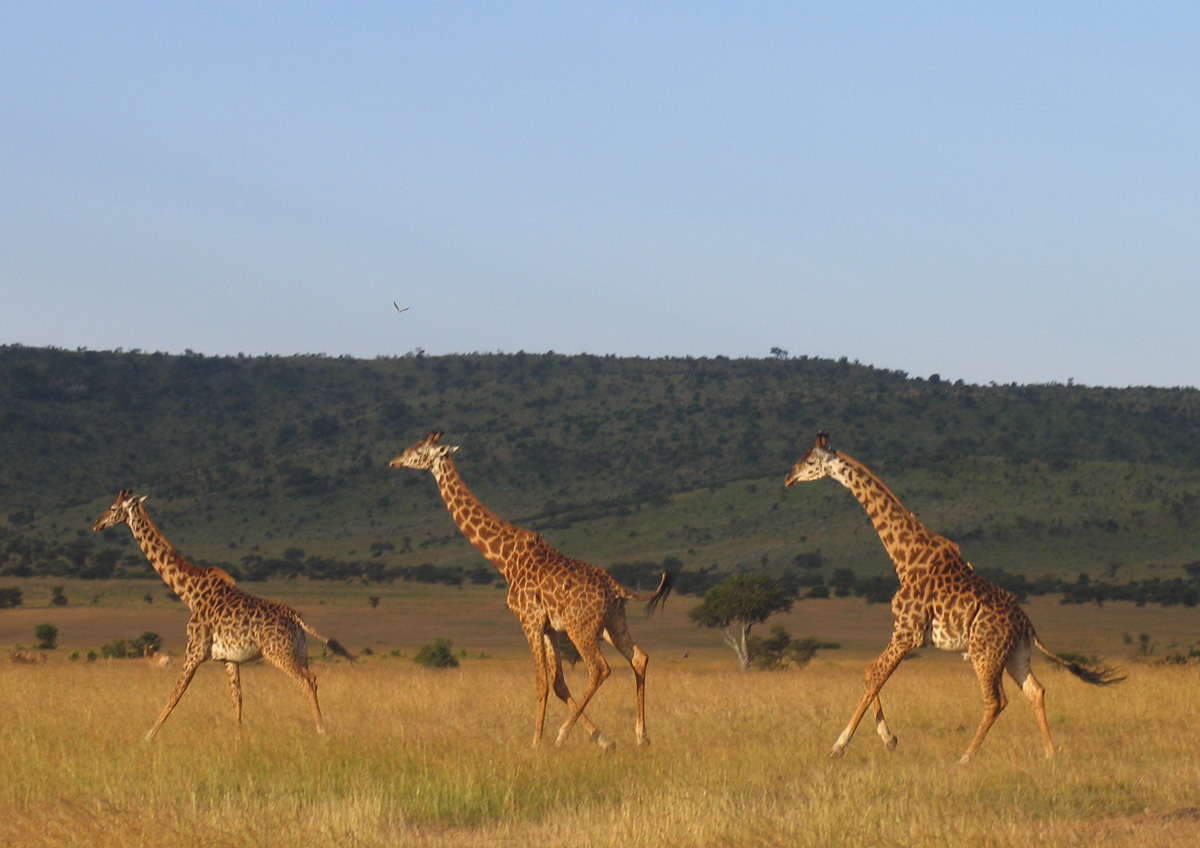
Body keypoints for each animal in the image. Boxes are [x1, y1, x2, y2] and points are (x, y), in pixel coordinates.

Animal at [91, 491, 352, 743]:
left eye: (113, 508)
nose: (96, 524)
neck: (190, 593)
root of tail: (295, 617)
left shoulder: (194, 651)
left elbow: (176, 693)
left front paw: (148, 736)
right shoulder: (230, 658)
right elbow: (237, 698)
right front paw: (238, 741)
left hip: (277, 652)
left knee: (307, 680)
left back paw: (323, 733)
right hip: (300, 652)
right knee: (312, 678)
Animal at [393, 431, 676, 748]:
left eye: (419, 451)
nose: (394, 461)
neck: (504, 558)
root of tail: (617, 587)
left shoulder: (529, 620)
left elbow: (541, 683)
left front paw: (536, 742)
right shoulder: (550, 627)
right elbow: (558, 684)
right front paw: (603, 739)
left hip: (581, 628)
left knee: (600, 668)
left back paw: (563, 733)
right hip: (611, 624)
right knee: (639, 658)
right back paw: (641, 736)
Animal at [782, 431, 1118, 762]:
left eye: (809, 460)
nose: (788, 478)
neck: (905, 557)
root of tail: (1027, 625)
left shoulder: (907, 632)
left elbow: (875, 676)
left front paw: (840, 745)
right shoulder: (906, 634)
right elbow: (869, 673)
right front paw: (888, 739)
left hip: (985, 653)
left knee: (996, 700)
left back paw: (966, 757)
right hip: (1015, 654)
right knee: (1035, 691)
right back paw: (1050, 753)